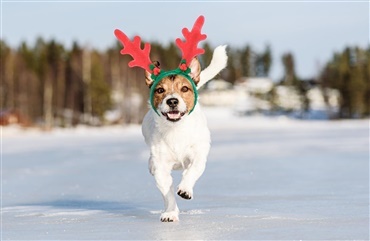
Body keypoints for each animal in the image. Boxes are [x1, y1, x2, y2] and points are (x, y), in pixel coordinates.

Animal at [114, 15, 227, 222]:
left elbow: (192, 170)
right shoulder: (162, 166)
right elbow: (167, 191)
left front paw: (185, 189)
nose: (172, 101)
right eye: (160, 90)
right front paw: (170, 213)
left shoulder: (198, 155)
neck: (176, 131)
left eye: (184, 88)